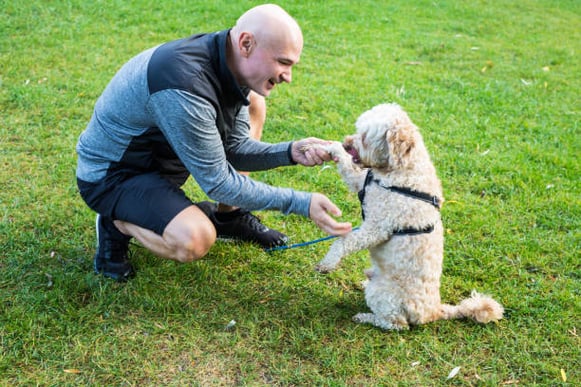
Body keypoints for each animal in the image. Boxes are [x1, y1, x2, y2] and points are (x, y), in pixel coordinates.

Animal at [314, 104, 500, 332]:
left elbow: (344, 241)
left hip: (384, 295)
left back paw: (366, 317)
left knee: (397, 324)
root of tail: (434, 312)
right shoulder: (363, 183)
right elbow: (349, 168)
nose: (346, 143)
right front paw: (331, 148)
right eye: (358, 130)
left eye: (365, 137)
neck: (402, 169)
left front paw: (328, 263)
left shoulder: (378, 226)